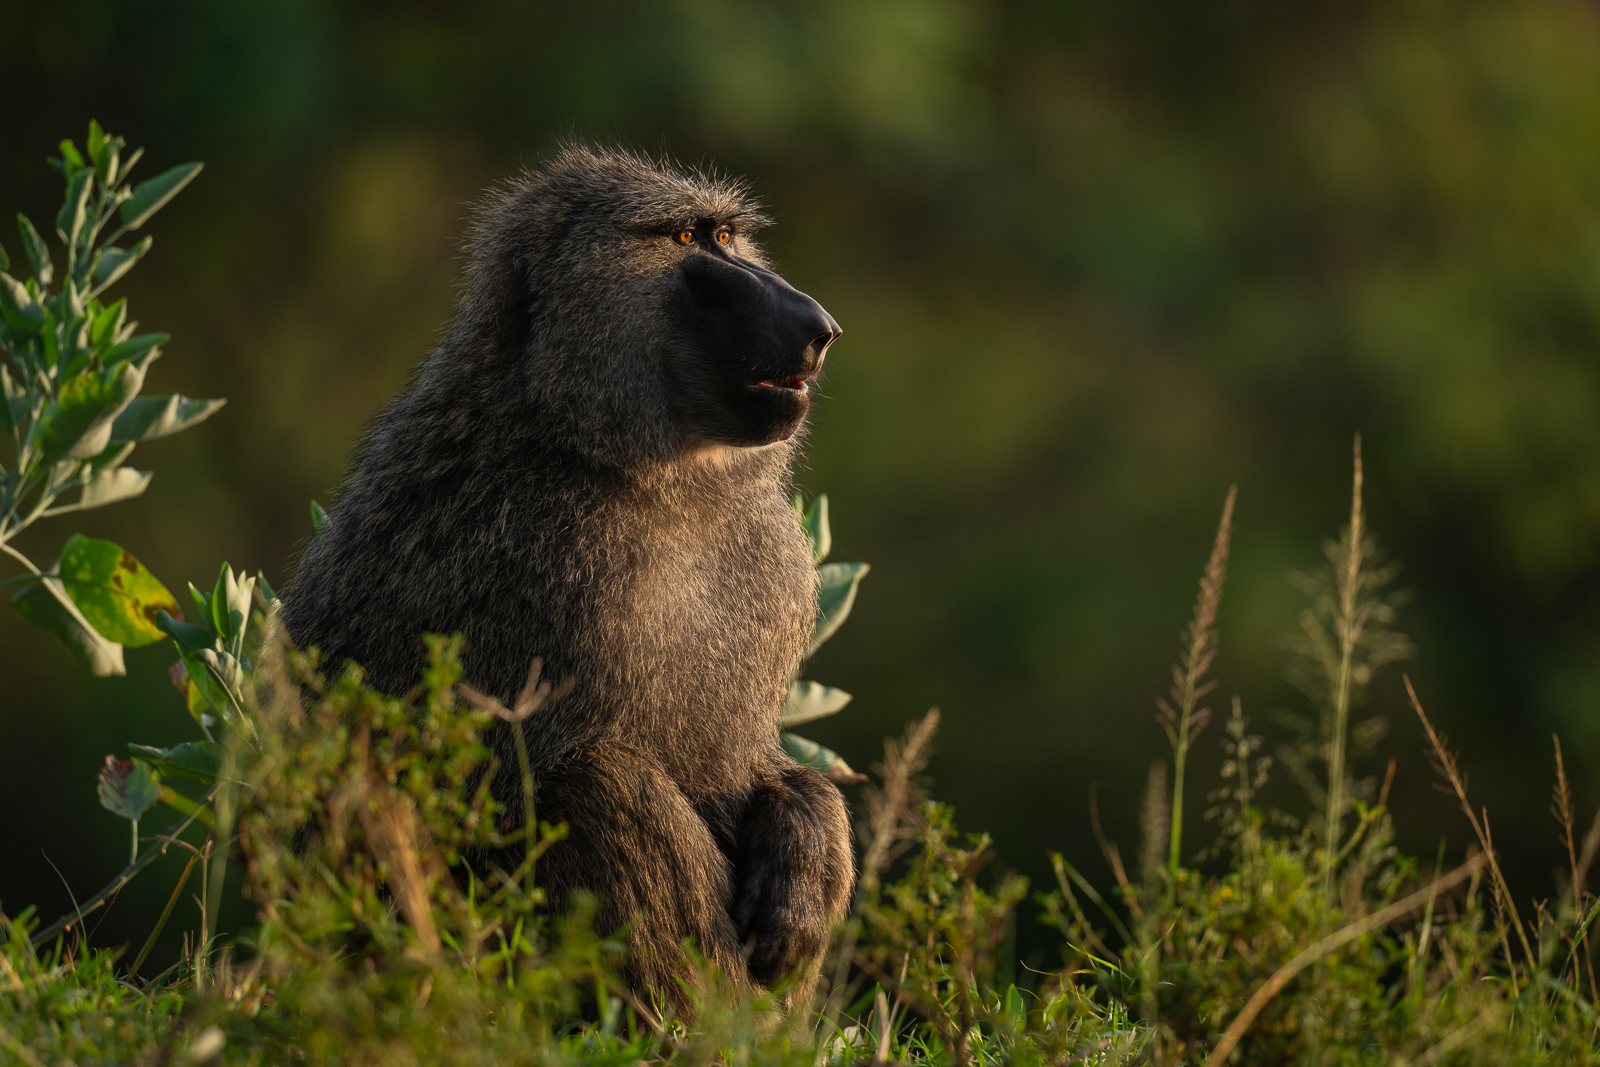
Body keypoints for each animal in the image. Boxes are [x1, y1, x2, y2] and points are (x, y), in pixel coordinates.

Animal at [280, 145, 853, 1017]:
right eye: (683, 237)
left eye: (725, 234)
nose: (818, 328)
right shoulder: (546, 568)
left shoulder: (771, 562)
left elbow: (764, 769)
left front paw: (802, 837)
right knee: (598, 780)